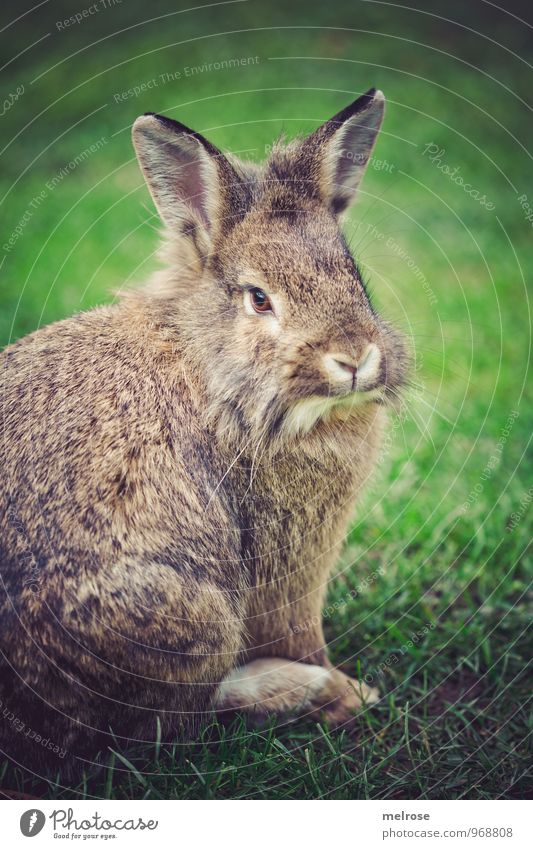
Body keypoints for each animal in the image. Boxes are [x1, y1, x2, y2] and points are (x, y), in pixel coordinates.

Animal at [0, 88, 408, 776]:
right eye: (258, 298)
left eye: (353, 274)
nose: (354, 359)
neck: (208, 364)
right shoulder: (285, 568)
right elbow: (303, 636)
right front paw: (349, 694)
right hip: (189, 616)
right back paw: (300, 690)